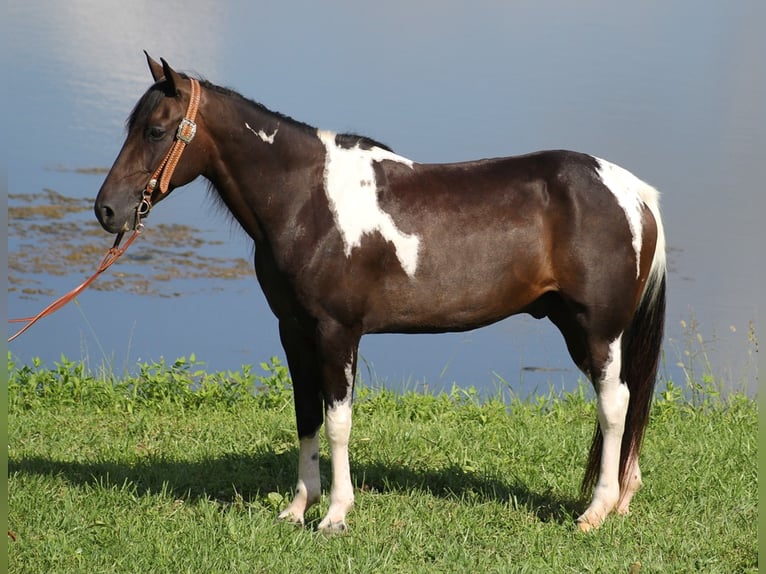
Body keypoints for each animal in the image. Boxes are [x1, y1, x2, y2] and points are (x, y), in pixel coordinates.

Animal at [96, 55, 668, 536]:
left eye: (155, 130)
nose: (106, 210)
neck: (308, 200)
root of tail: (635, 193)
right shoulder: (294, 332)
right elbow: (306, 417)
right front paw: (297, 509)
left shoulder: (337, 333)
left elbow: (338, 423)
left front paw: (335, 516)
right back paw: (622, 499)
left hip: (597, 330)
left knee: (615, 404)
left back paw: (595, 511)